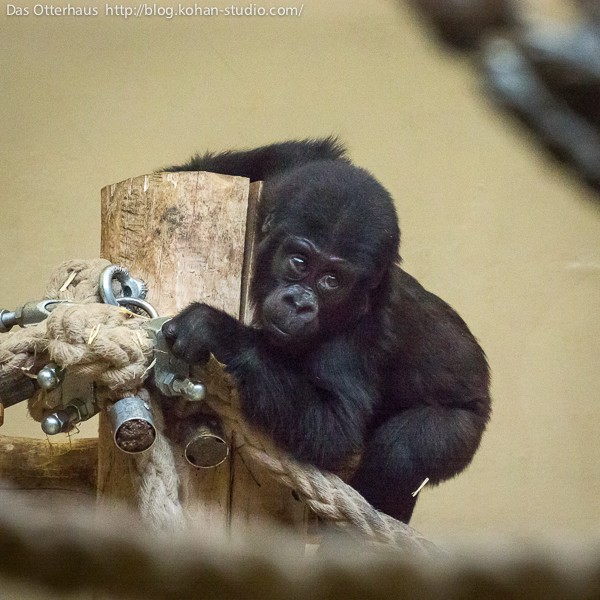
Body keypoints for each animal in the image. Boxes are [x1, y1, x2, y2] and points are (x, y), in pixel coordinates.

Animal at [162, 138, 490, 524]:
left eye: (332, 281)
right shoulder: (293, 174)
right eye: (299, 261)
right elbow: (300, 156)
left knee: (403, 450)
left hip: (465, 426)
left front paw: (213, 328)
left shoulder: (359, 335)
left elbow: (334, 428)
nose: (300, 303)